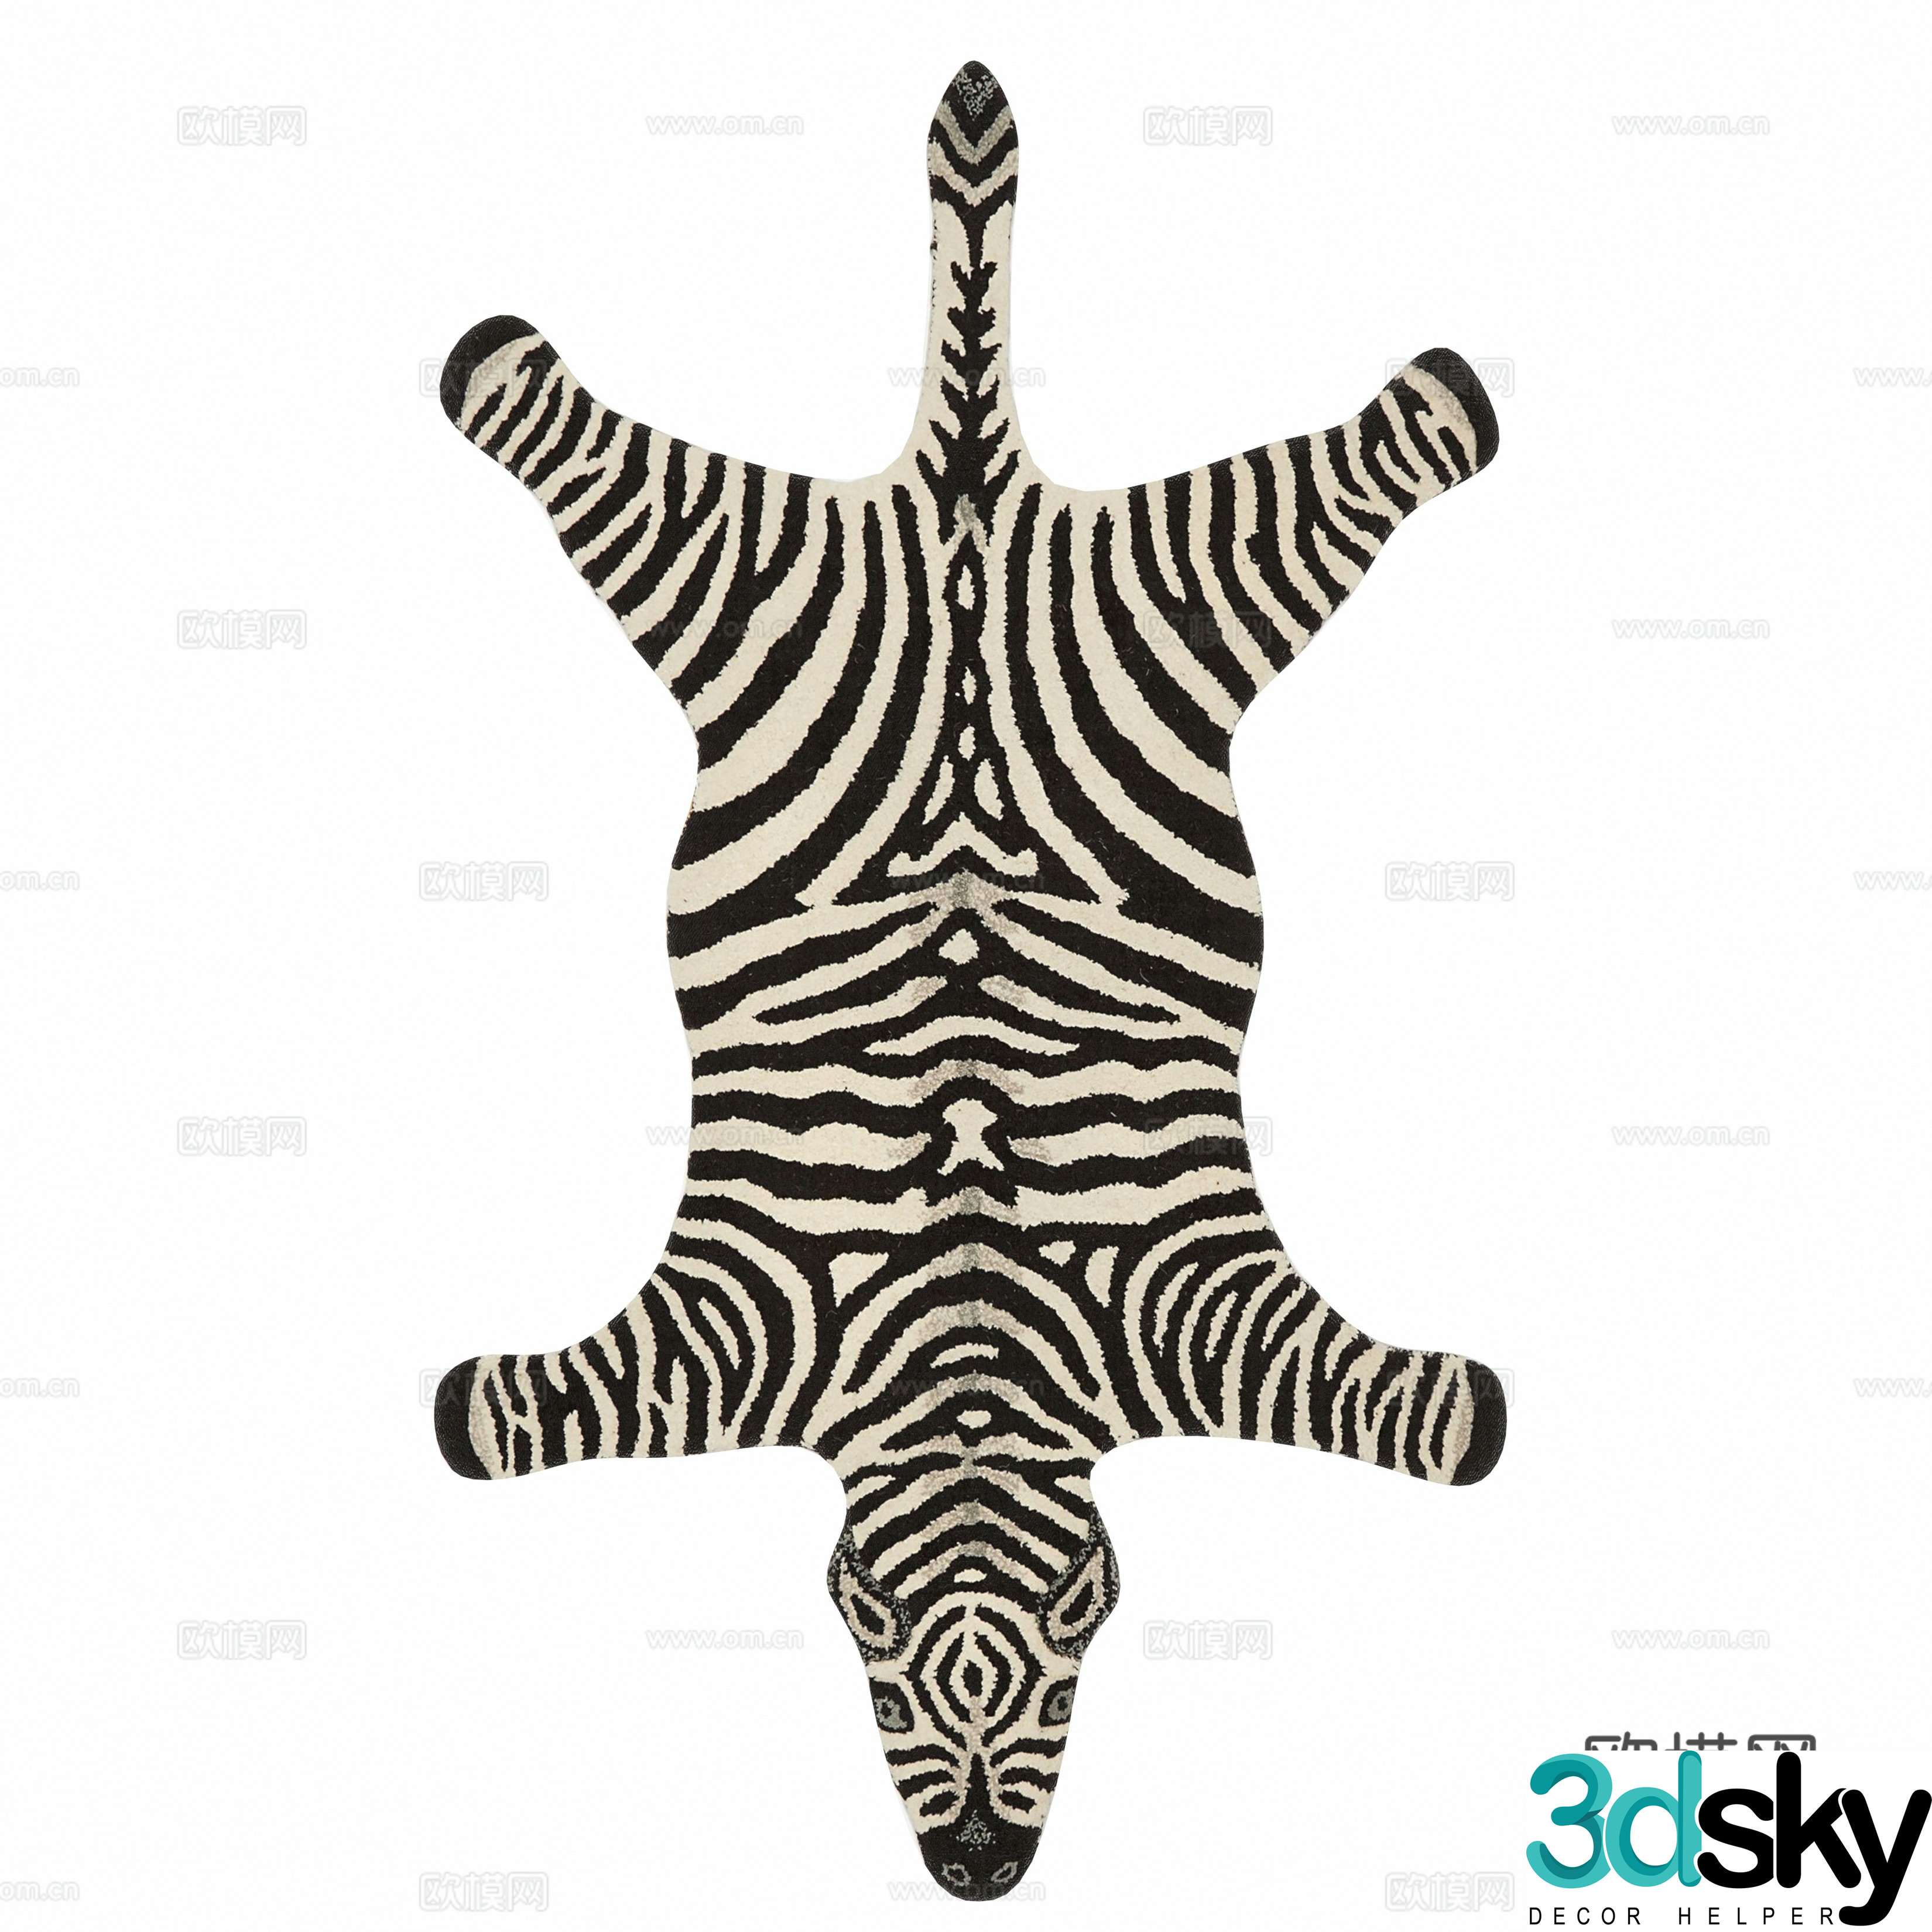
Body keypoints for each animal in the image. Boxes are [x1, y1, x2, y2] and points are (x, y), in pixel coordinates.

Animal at [432, 58, 1504, 1903]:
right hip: (787, 574)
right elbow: (515, 1412)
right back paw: (506, 362)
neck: (969, 1343)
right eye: (870, 1670)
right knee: (569, 430)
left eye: (1084, 1652)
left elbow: (1416, 1408)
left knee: (1363, 458)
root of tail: (966, 494)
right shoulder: (736, 1326)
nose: (985, 1872)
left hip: (1144, 585)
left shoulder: (1190, 1308)